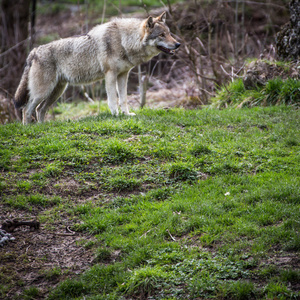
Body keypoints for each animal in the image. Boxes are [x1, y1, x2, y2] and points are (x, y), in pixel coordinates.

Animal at [14, 11, 180, 124]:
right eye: (162, 35)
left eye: (169, 33)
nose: (178, 44)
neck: (125, 41)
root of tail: (34, 51)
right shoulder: (110, 75)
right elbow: (113, 99)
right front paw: (116, 115)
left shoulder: (123, 75)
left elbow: (124, 99)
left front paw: (126, 115)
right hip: (43, 92)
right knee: (26, 109)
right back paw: (29, 128)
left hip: (56, 91)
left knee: (39, 109)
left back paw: (43, 126)